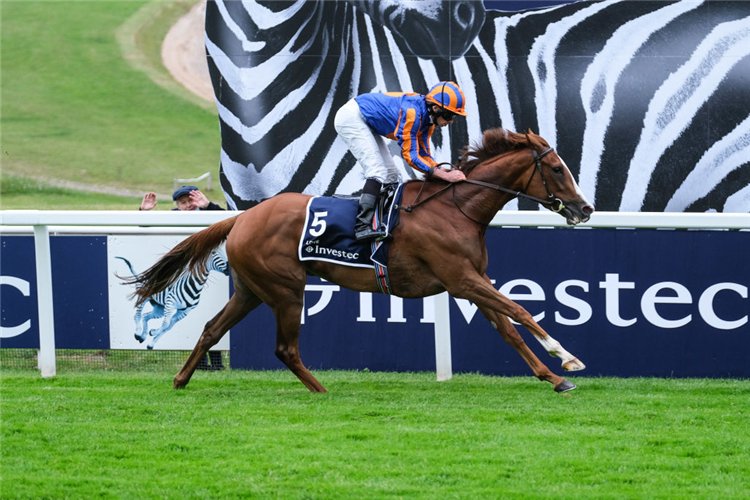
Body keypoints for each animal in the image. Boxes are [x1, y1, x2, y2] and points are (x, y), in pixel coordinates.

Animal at [127, 128, 594, 393]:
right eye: (556, 168)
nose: (585, 208)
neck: (456, 208)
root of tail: (242, 216)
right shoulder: (461, 279)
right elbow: (521, 311)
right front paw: (568, 358)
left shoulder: (471, 280)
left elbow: (509, 329)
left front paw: (554, 378)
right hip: (285, 289)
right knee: (285, 348)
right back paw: (321, 389)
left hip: (251, 290)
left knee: (211, 329)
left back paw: (181, 380)